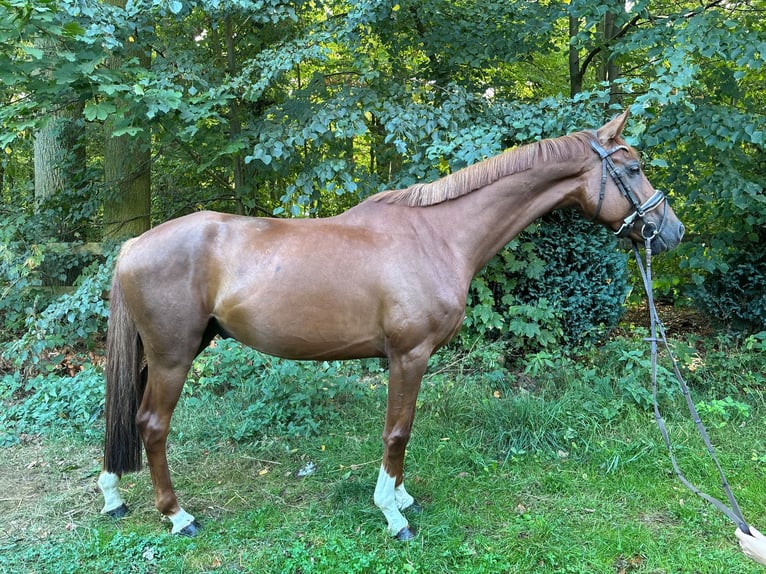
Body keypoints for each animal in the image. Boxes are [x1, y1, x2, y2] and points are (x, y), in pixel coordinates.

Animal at [97, 110, 684, 540]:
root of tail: (134, 244)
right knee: (152, 424)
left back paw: (113, 496)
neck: (438, 236)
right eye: (633, 168)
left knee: (128, 417)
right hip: (173, 357)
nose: (671, 231)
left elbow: (405, 429)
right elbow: (398, 431)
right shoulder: (409, 355)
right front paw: (393, 513)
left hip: (166, 354)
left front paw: (401, 497)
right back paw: (178, 516)